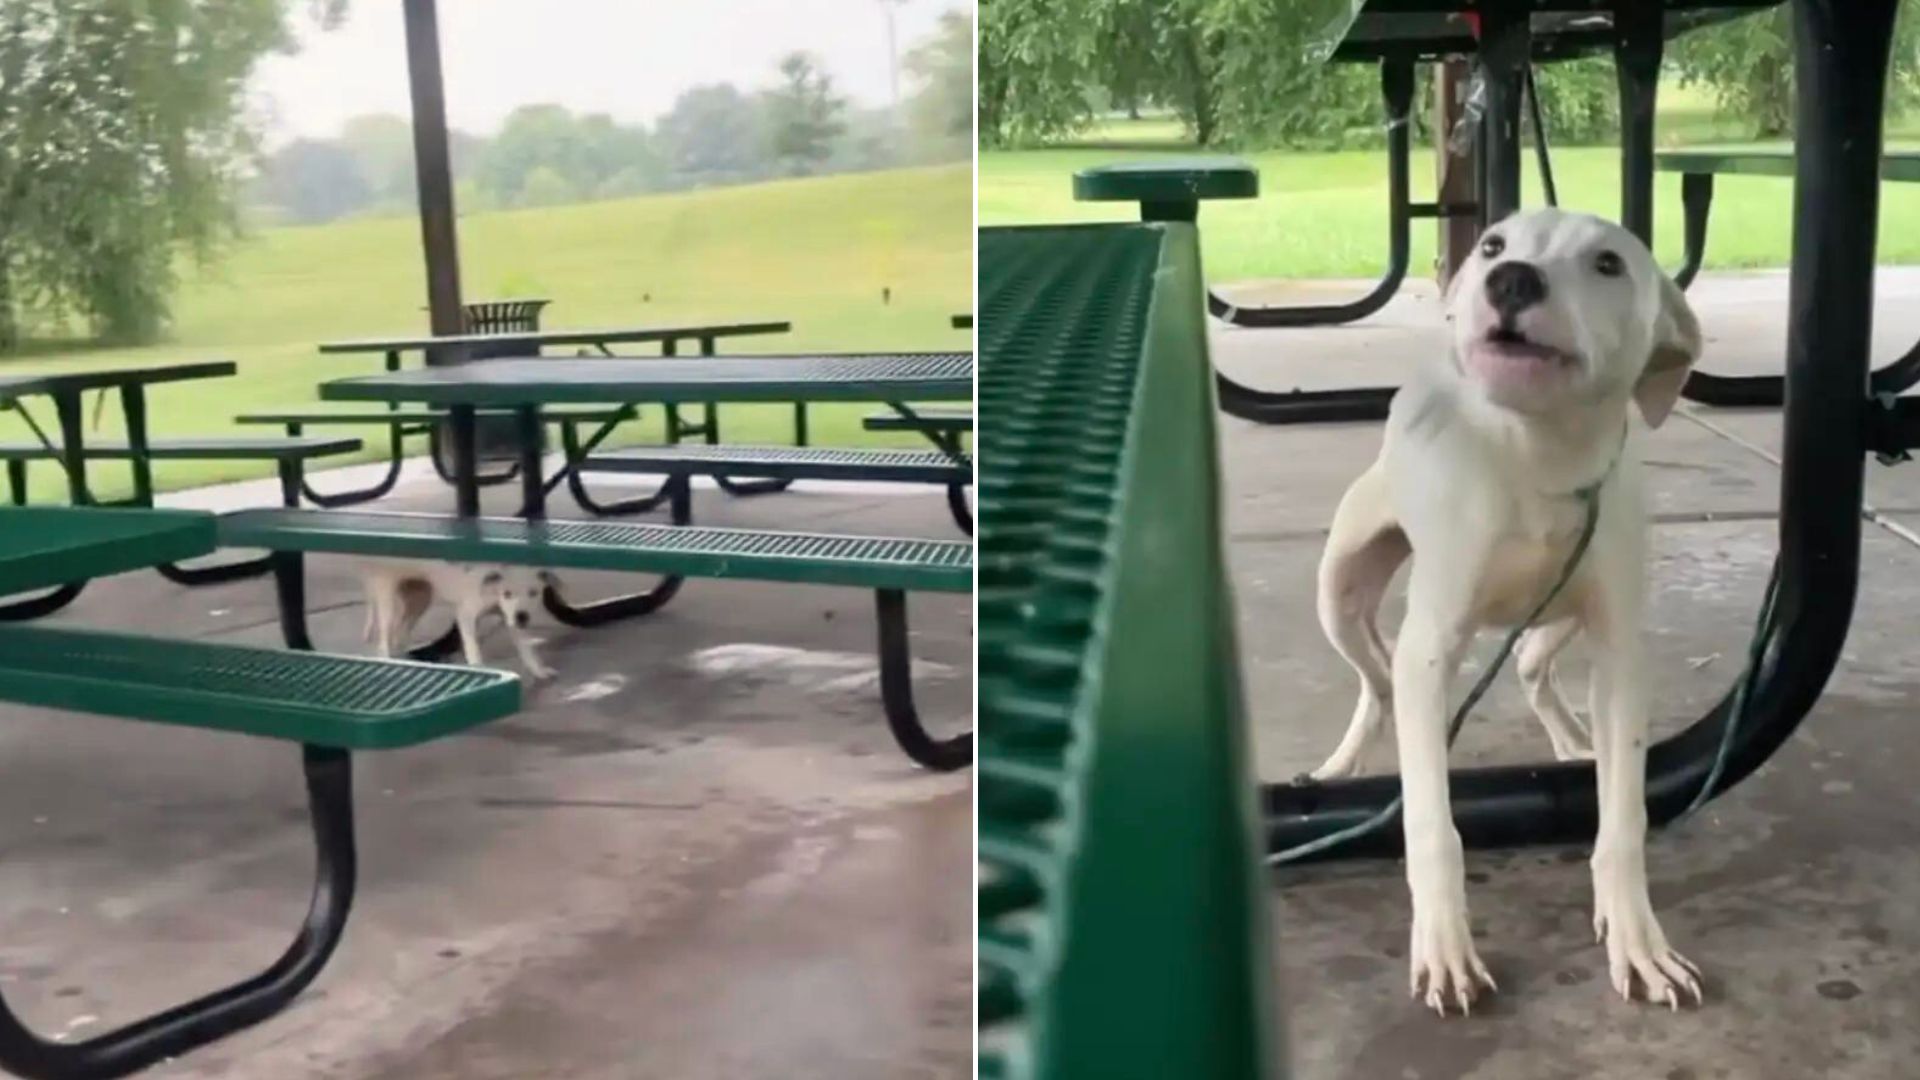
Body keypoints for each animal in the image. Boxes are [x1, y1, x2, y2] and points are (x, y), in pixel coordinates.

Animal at [360, 557, 560, 676]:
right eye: (507, 593)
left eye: (534, 593)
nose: (522, 617)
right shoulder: (466, 615)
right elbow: (473, 648)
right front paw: (479, 669)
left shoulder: (510, 618)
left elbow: (527, 649)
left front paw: (539, 670)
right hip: (387, 596)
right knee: (385, 638)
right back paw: (387, 659)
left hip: (420, 597)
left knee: (399, 632)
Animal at [1313, 208, 1704, 1006]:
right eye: (1493, 244)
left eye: (1609, 263)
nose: (1511, 280)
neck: (1536, 457)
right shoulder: (1431, 648)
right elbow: (1433, 824)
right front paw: (1445, 947)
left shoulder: (1620, 651)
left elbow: (1625, 816)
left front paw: (1637, 938)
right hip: (1338, 589)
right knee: (1378, 683)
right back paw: (1344, 764)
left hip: (1559, 615)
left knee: (1526, 664)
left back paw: (1575, 742)